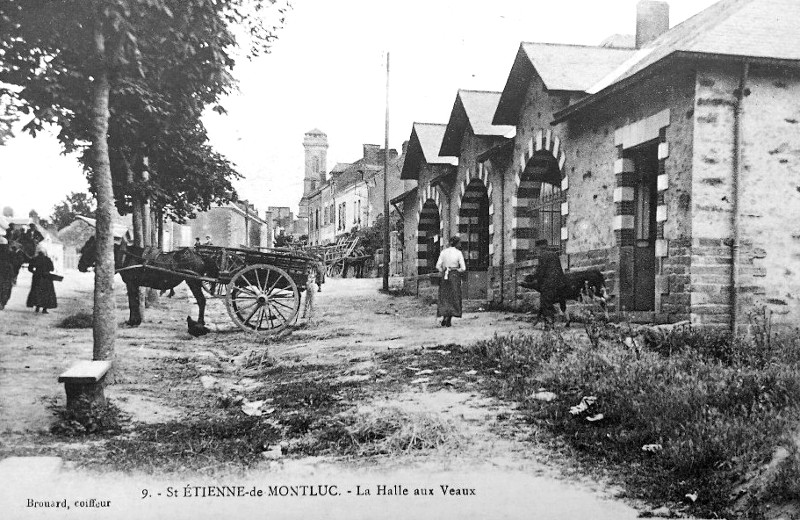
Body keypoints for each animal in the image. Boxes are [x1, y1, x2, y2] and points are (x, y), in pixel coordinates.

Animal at [77, 237, 216, 328]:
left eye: (87, 249)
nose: (80, 266)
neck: (127, 257)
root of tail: (201, 257)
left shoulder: (131, 284)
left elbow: (132, 302)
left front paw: (133, 321)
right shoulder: (135, 284)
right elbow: (136, 301)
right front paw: (136, 320)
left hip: (193, 282)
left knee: (201, 300)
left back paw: (200, 322)